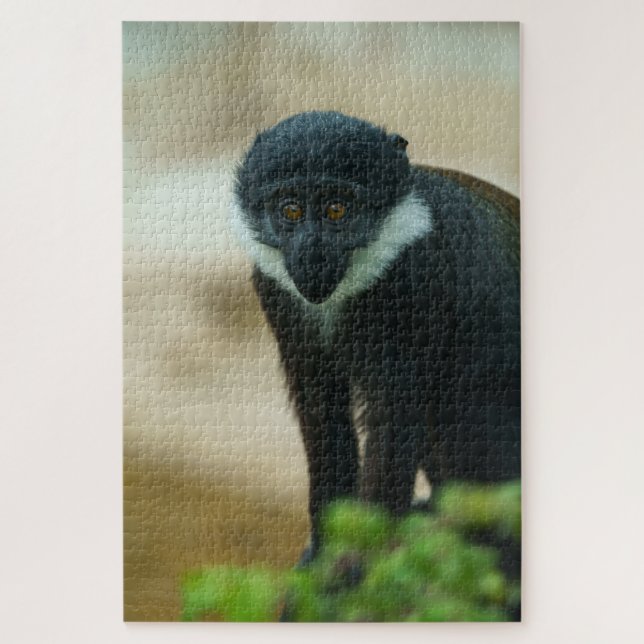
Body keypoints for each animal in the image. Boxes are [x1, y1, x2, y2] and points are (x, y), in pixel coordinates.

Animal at [232, 111, 520, 564]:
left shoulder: (414, 278)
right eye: (291, 210)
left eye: (337, 210)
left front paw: (353, 565)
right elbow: (322, 412)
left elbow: (392, 424)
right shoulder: (275, 289)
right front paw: (324, 551)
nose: (311, 253)